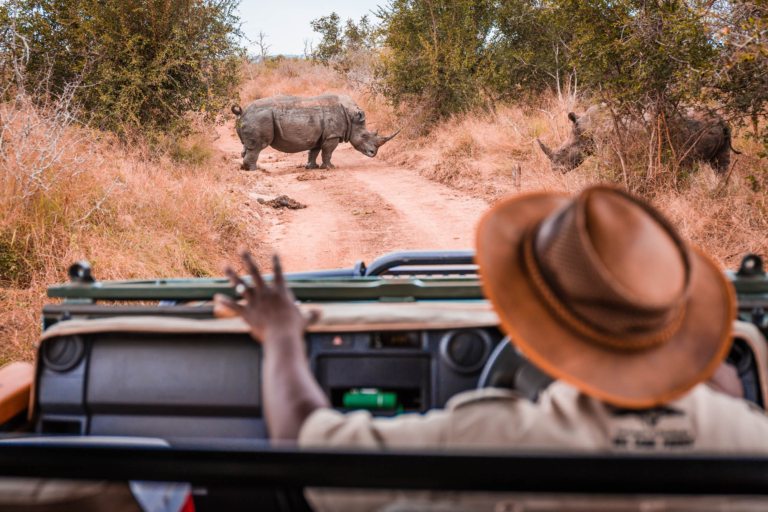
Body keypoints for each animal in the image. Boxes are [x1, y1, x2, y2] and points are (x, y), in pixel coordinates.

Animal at [231, 94, 400, 171]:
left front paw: (311, 167)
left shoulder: (319, 135)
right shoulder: (332, 135)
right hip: (260, 118)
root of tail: (242, 111)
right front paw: (330, 168)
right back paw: (255, 170)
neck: (352, 117)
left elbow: (314, 151)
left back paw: (245, 169)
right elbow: (328, 152)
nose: (374, 153)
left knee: (247, 146)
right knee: (257, 146)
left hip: (253, 118)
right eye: (364, 136)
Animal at [537, 105, 741, 174]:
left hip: (696, 130)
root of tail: (722, 121)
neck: (586, 126)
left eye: (563, 151)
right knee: (720, 165)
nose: (554, 172)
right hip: (720, 130)